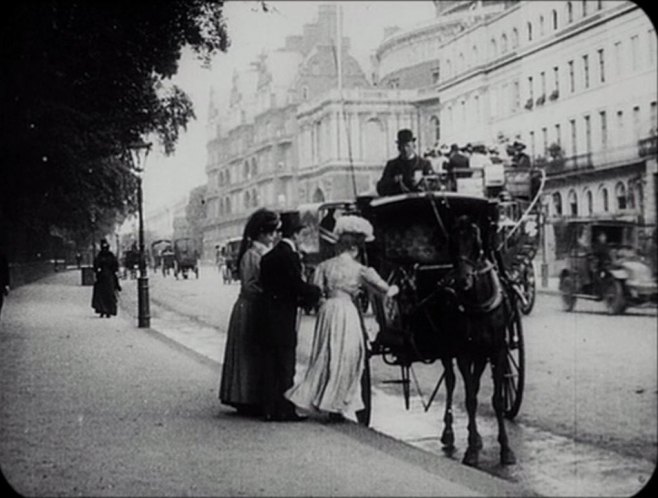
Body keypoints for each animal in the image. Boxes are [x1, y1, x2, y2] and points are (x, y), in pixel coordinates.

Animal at [436, 215, 516, 466]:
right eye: (452, 242)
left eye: (476, 242)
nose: (463, 280)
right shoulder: (463, 352)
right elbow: (470, 398)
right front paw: (471, 450)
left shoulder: (497, 350)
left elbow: (497, 399)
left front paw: (506, 449)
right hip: (448, 349)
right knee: (452, 382)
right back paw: (449, 433)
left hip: (481, 353)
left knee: (476, 382)